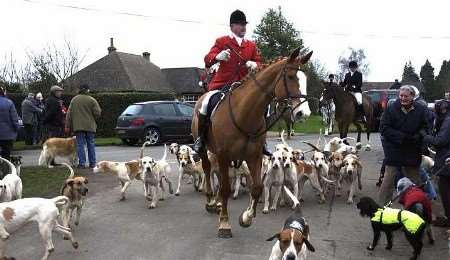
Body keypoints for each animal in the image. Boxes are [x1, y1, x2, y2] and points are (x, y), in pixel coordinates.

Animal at [191, 47, 312, 239]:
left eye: (305, 78)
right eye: (291, 76)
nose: (303, 113)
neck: (245, 114)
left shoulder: (254, 156)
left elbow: (256, 187)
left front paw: (247, 217)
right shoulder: (224, 155)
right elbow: (225, 189)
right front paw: (224, 223)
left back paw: (217, 203)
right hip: (205, 150)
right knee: (208, 170)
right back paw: (211, 200)